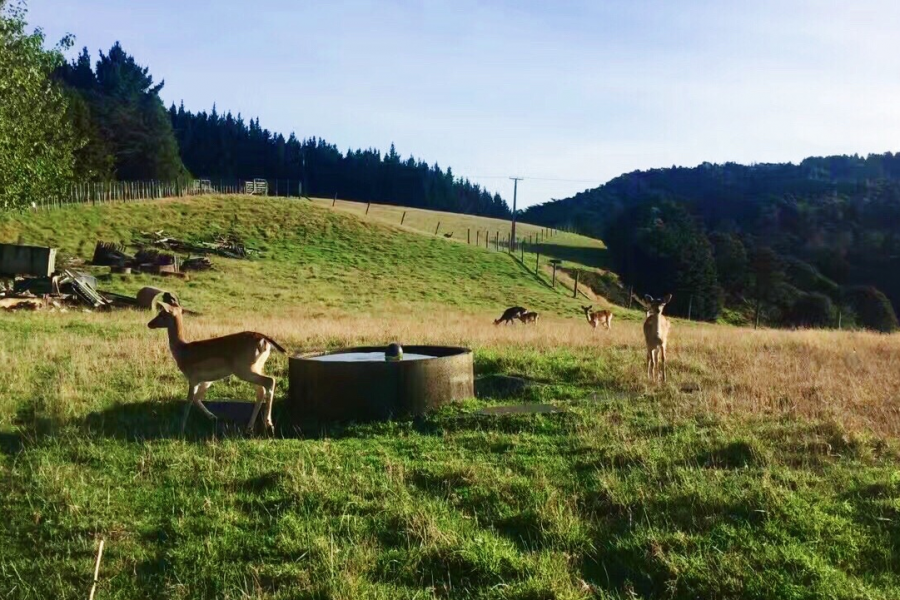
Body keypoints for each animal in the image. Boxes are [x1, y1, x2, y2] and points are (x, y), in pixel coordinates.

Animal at [148, 298, 286, 434]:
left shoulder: (193, 378)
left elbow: (189, 401)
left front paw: (181, 428)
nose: (149, 324)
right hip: (257, 367)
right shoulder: (206, 380)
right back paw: (250, 427)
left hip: (245, 369)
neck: (182, 350)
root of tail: (263, 340)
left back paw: (269, 424)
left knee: (270, 381)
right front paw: (213, 417)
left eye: (162, 314)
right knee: (261, 390)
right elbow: (197, 399)